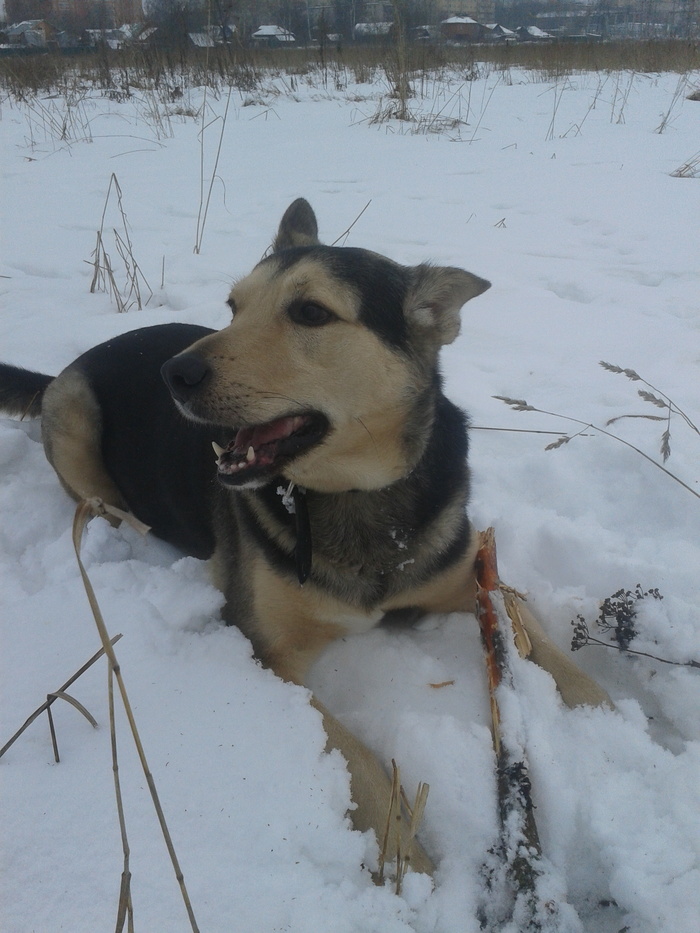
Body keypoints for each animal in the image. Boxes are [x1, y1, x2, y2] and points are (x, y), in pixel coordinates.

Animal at [0, 200, 608, 876]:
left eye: (310, 312)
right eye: (234, 306)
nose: (173, 373)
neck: (354, 496)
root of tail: (64, 367)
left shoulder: (470, 571)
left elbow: (537, 638)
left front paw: (615, 718)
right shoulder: (268, 652)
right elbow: (357, 756)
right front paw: (409, 860)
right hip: (77, 420)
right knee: (102, 507)